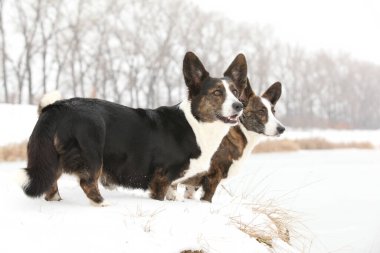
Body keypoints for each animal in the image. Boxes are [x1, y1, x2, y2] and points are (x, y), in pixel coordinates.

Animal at [20, 51, 248, 206]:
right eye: (217, 92)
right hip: (92, 153)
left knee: (51, 181)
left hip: (51, 157)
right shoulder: (161, 178)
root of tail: (56, 108)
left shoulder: (172, 181)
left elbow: (173, 193)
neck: (197, 124)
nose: (239, 106)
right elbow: (161, 195)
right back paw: (103, 203)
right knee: (87, 182)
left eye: (236, 92)